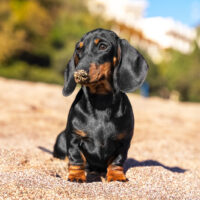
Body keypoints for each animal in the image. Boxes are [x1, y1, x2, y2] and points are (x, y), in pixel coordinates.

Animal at [53, 28, 148, 183]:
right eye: (78, 49)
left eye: (103, 46)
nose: (78, 72)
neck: (101, 103)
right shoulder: (74, 138)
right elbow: (76, 158)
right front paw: (76, 176)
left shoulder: (123, 142)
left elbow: (117, 160)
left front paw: (116, 176)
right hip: (61, 138)